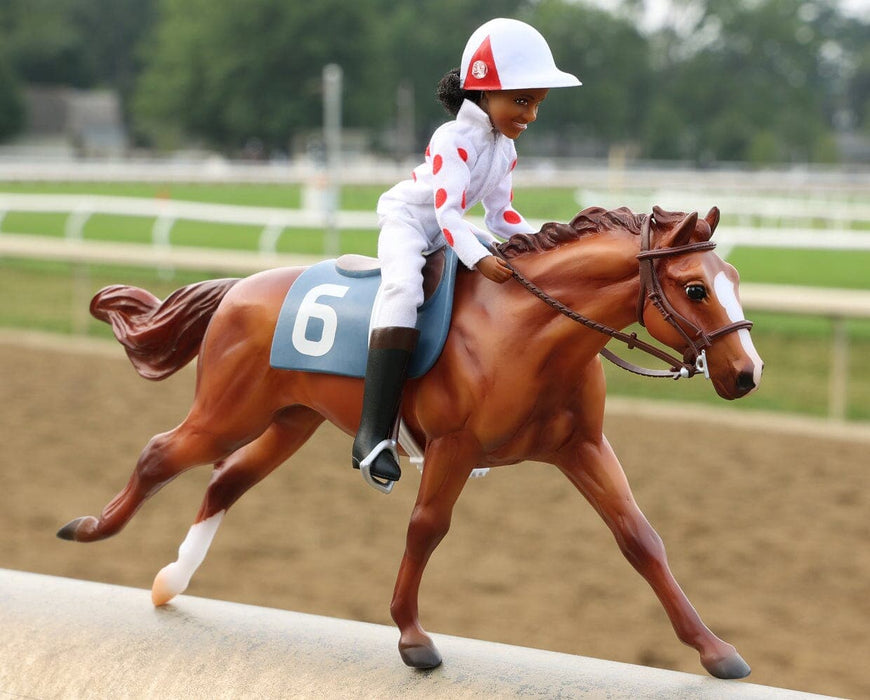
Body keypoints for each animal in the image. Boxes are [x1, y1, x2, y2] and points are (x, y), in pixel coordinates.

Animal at [58, 206, 764, 680]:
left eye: (732, 275)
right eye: (695, 287)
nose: (747, 373)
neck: (524, 328)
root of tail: (237, 287)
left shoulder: (582, 447)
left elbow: (640, 538)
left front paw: (715, 649)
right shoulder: (454, 446)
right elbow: (426, 527)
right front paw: (411, 634)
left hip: (289, 420)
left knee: (225, 479)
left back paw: (169, 581)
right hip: (227, 412)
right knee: (160, 453)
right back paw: (90, 529)